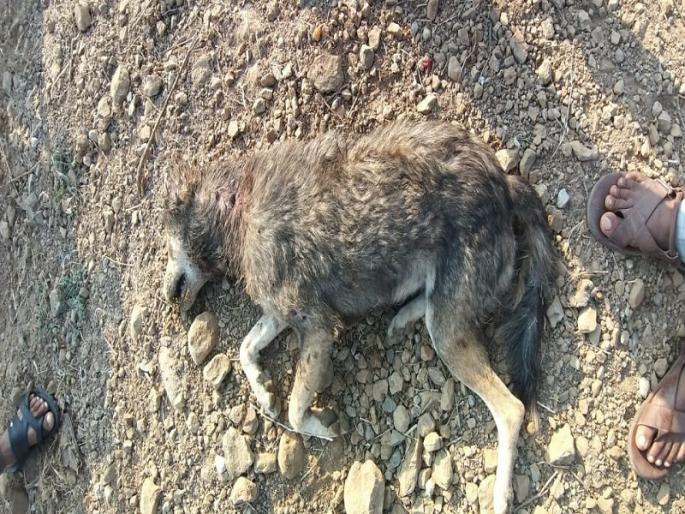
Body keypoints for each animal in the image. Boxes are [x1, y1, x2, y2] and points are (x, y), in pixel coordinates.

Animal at [163, 121, 556, 513]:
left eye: (166, 245)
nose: (166, 297)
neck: (235, 208)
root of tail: (506, 185)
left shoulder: (317, 327)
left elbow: (295, 410)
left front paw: (320, 426)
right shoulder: (282, 311)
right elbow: (246, 348)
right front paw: (262, 389)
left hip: (449, 333)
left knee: (511, 410)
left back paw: (500, 494)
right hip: (444, 307)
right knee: (430, 303)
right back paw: (402, 316)